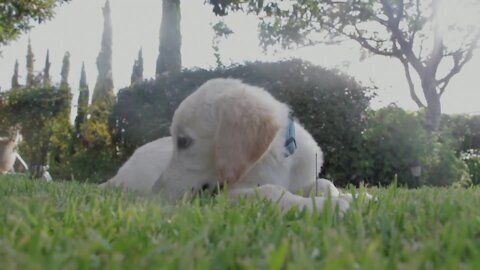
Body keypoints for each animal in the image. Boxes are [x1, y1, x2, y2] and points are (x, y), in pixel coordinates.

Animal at [153, 78, 348, 215]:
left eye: (183, 141)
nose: (155, 193)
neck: (272, 156)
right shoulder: (223, 195)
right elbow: (270, 190)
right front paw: (330, 206)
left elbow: (324, 183)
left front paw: (343, 197)